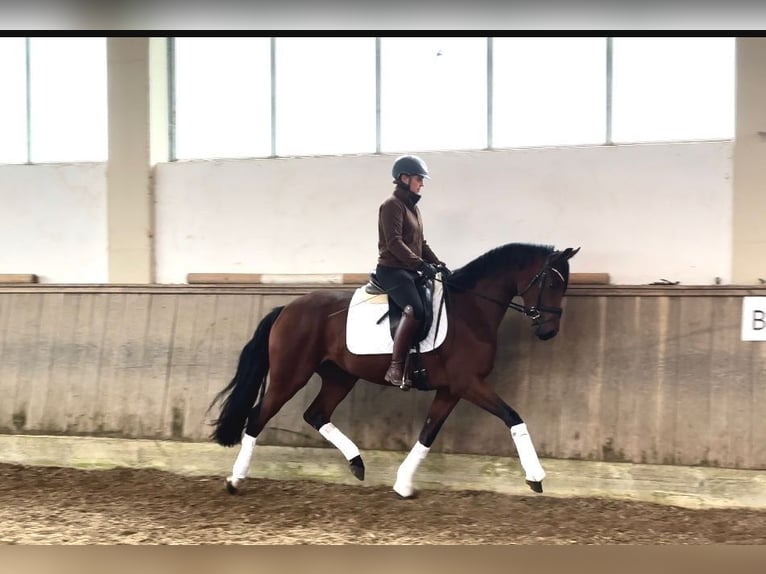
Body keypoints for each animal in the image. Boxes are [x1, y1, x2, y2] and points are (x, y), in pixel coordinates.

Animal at [210, 243, 584, 500]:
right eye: (552, 284)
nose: (548, 331)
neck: (471, 310)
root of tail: (287, 307)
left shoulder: (451, 389)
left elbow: (428, 434)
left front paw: (403, 484)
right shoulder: (469, 383)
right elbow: (513, 417)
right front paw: (536, 477)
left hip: (340, 376)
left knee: (316, 414)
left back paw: (357, 463)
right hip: (290, 374)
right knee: (258, 417)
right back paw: (235, 480)